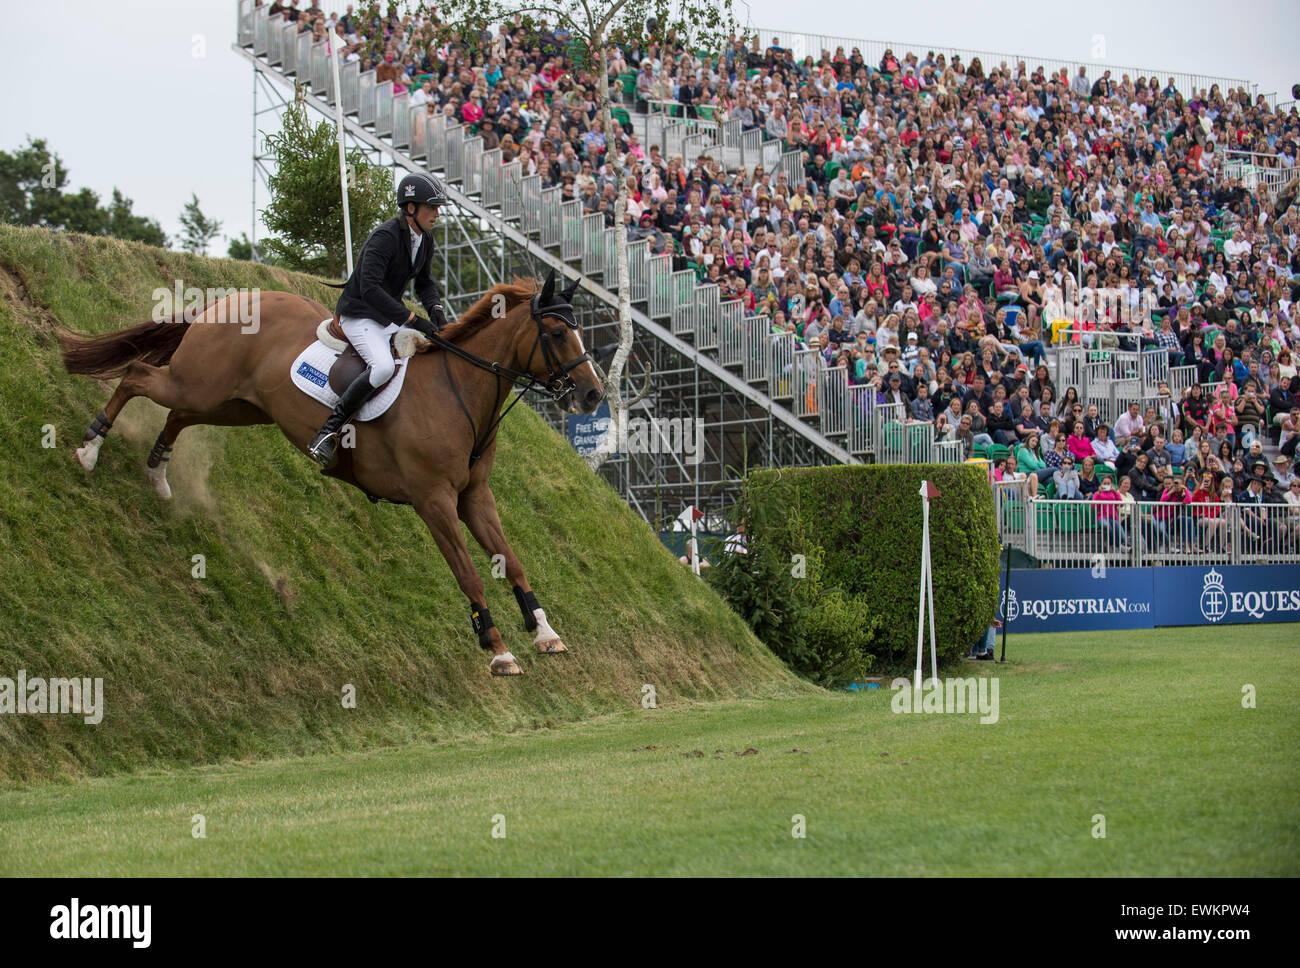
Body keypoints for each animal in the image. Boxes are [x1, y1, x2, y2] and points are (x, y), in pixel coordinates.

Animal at [58, 270, 605, 680]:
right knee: (136, 376)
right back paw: (89, 449)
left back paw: (157, 476)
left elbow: (511, 560)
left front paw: (545, 632)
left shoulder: (474, 497)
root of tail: (230, 301)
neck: (460, 390)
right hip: (201, 386)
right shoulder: (433, 502)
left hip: (230, 404)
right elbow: (470, 573)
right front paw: (498, 650)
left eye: (578, 331)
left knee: (176, 415)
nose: (593, 394)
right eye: (558, 333)